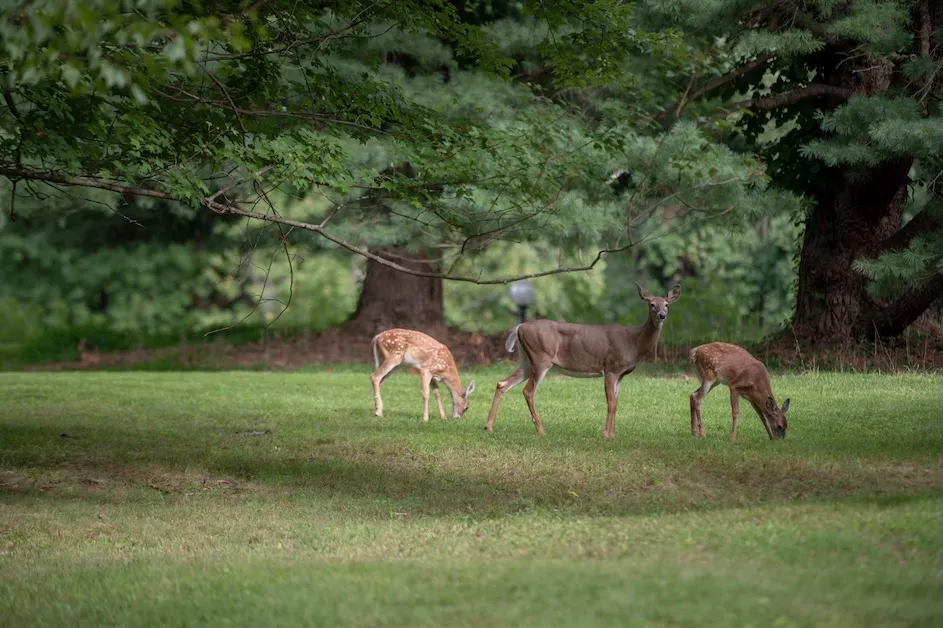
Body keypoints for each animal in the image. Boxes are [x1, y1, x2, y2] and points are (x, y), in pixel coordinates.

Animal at [484, 282, 681, 440]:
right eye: (651, 304)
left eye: (666, 304)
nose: (662, 315)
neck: (634, 342)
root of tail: (519, 327)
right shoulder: (610, 367)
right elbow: (611, 403)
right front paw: (606, 435)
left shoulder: (621, 374)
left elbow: (616, 403)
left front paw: (613, 434)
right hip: (541, 358)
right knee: (528, 391)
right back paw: (541, 431)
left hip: (526, 361)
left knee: (502, 383)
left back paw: (489, 426)